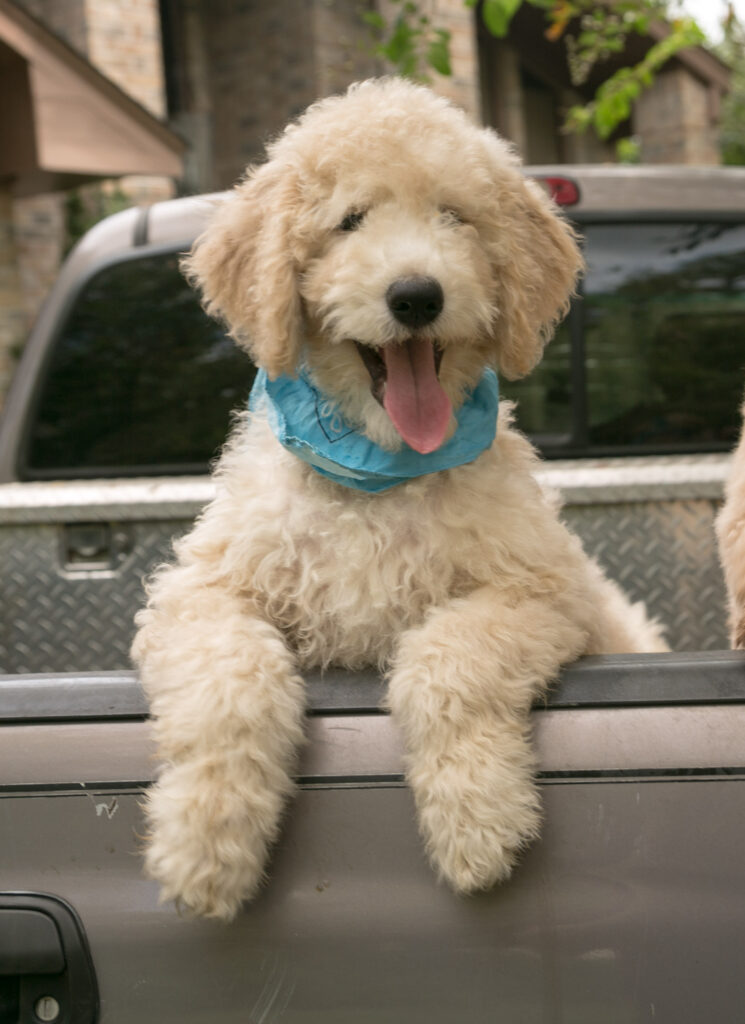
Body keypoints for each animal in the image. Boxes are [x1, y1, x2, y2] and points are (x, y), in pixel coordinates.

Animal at [132, 75, 663, 917]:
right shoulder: (196, 591)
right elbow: (229, 681)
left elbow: (446, 655)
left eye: (453, 215)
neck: (380, 475)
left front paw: (477, 820)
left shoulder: (548, 593)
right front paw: (204, 845)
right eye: (349, 220)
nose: (416, 296)